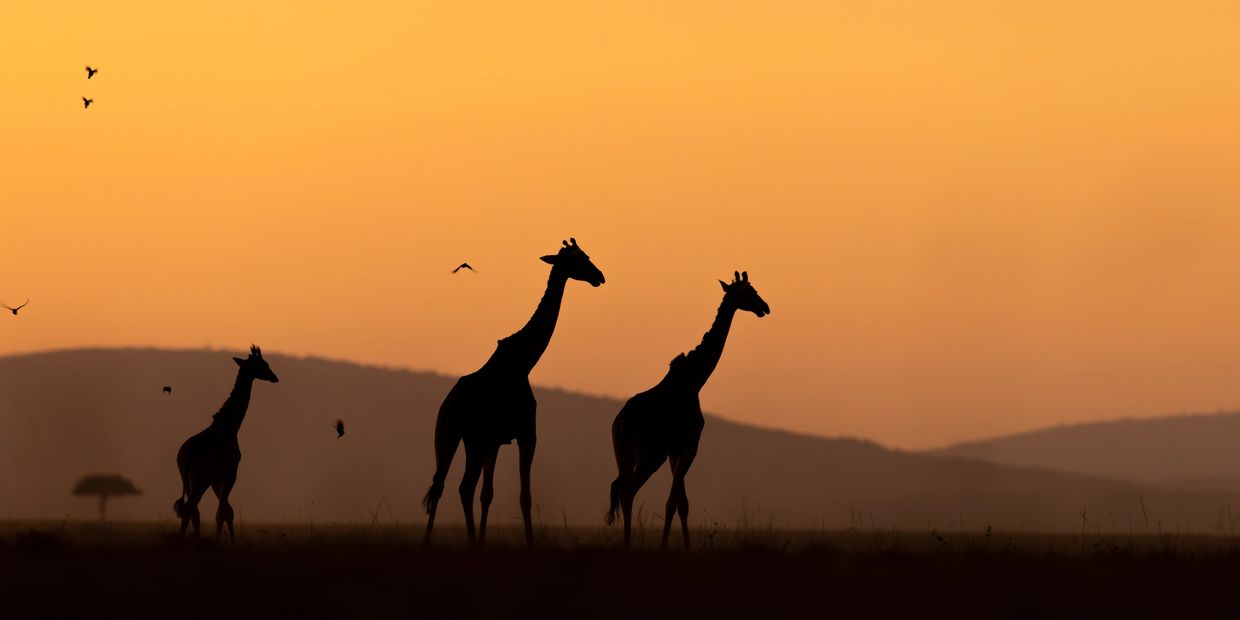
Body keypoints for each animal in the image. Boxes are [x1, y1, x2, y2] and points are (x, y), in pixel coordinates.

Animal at [173, 345, 279, 541]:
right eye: (263, 364)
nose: (275, 377)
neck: (231, 425)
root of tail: (185, 455)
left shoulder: (217, 479)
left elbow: (227, 511)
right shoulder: (230, 472)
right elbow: (222, 512)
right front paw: (221, 541)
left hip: (189, 479)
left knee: (193, 511)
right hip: (200, 479)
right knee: (190, 508)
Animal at [422, 238, 605, 545]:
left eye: (586, 255)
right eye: (579, 258)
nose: (599, 277)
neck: (524, 361)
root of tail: (446, 405)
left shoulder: (496, 440)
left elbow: (488, 494)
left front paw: (484, 540)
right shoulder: (527, 433)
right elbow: (524, 496)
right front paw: (529, 544)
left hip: (459, 439)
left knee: (445, 486)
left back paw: (438, 542)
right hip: (459, 438)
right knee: (457, 487)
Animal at [606, 271, 770, 548]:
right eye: (750, 292)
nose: (765, 308)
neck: (695, 379)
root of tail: (621, 425)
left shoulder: (675, 450)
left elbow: (682, 503)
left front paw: (686, 547)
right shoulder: (690, 444)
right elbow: (673, 502)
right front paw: (665, 548)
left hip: (624, 455)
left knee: (620, 488)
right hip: (650, 455)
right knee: (628, 490)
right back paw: (627, 546)